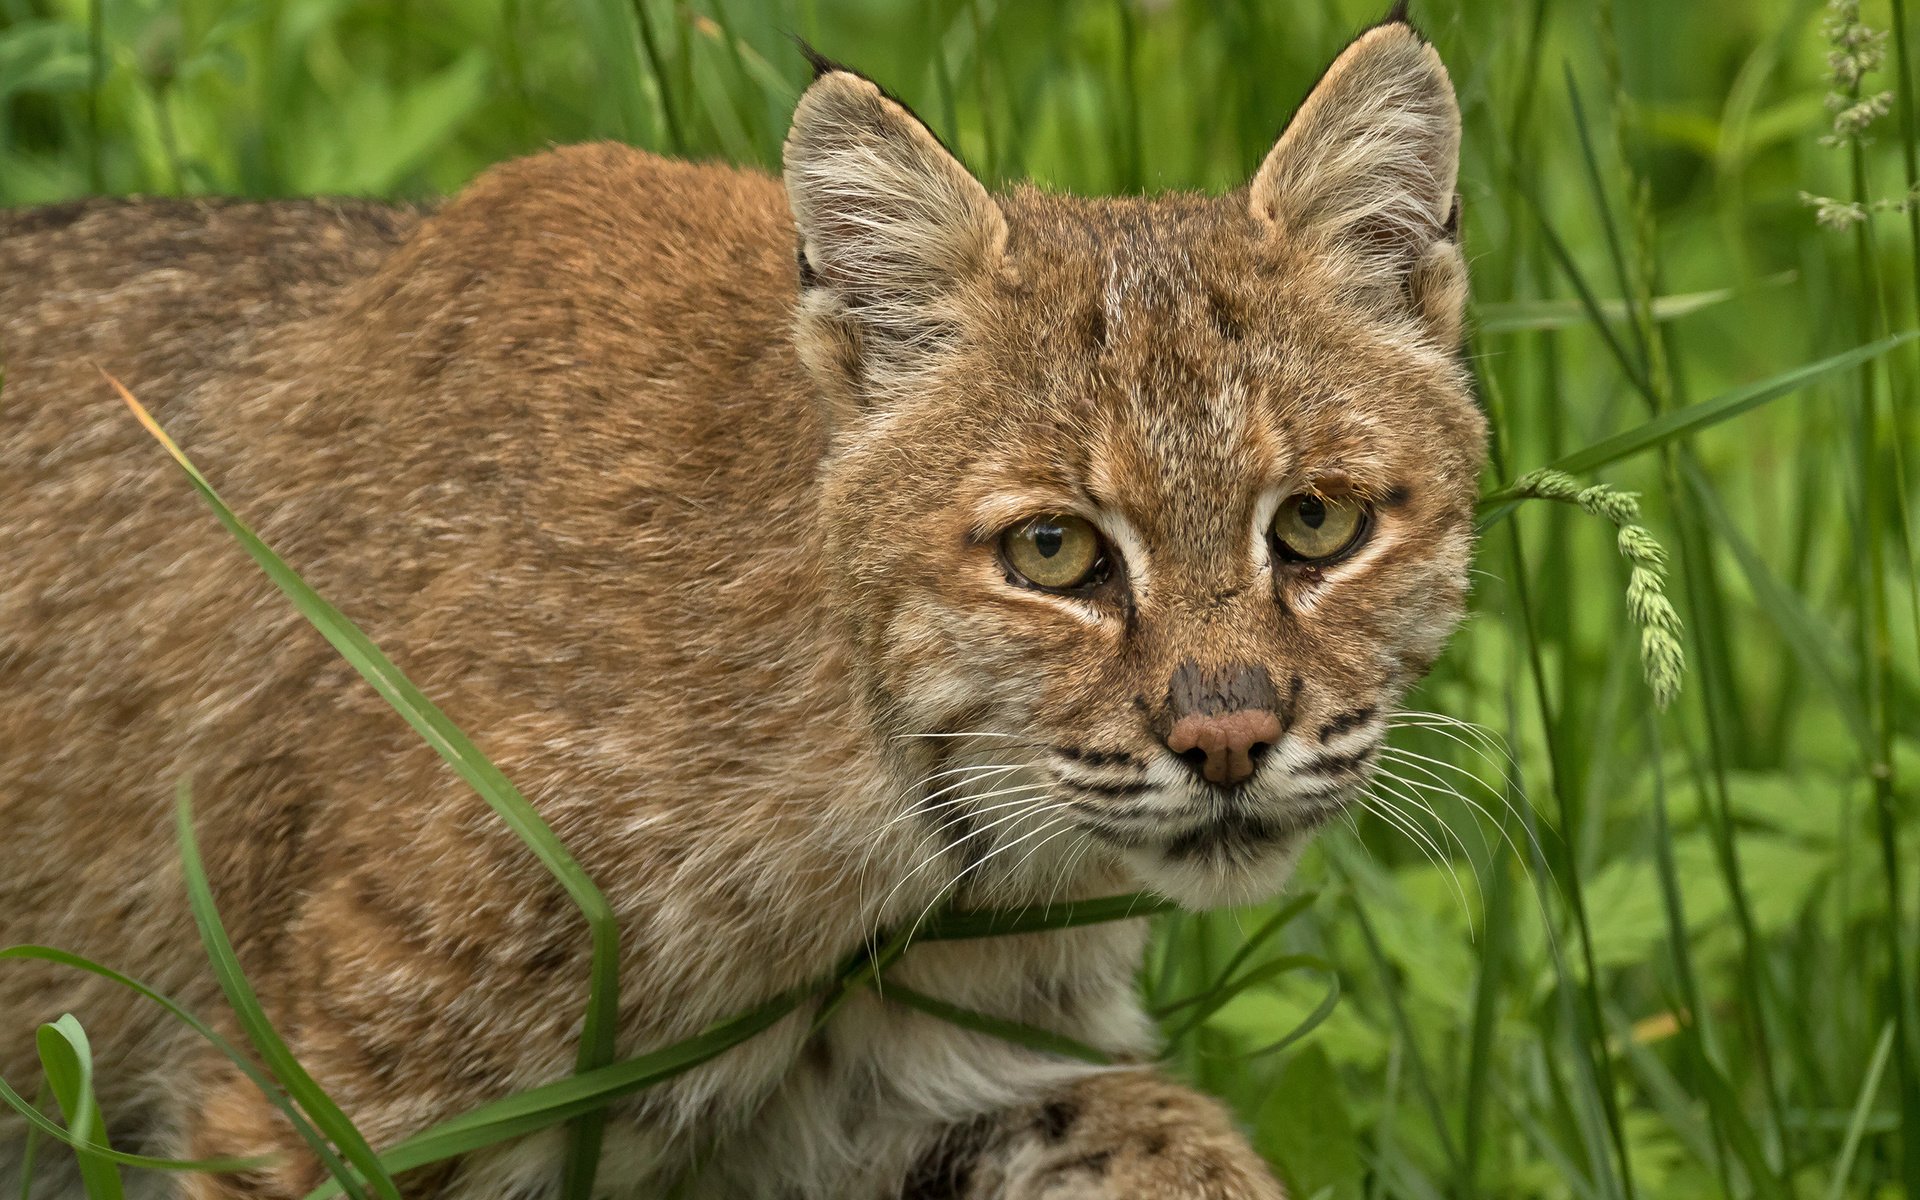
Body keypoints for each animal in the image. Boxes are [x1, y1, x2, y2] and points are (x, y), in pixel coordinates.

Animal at [0, 11, 1482, 1198]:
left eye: (1318, 523)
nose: (1229, 741)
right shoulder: (301, 1110)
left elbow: (1166, 1132)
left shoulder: (924, 1086)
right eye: (1054, 553)